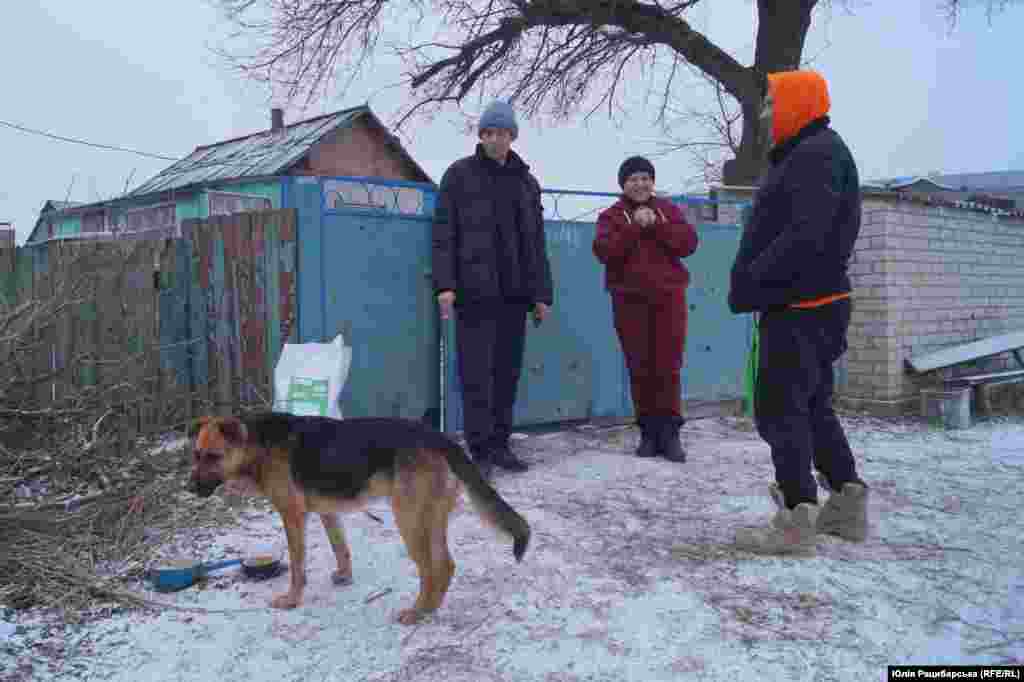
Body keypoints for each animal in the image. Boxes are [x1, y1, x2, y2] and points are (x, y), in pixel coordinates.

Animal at [187, 409, 532, 622]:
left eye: (213, 457)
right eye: (196, 455)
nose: (190, 488)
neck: (257, 444)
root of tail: (440, 438)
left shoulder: (293, 517)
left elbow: (297, 566)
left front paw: (292, 599)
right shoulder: (327, 513)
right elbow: (340, 547)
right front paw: (344, 576)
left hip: (409, 520)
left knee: (430, 570)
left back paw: (416, 612)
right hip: (430, 518)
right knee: (445, 566)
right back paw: (429, 610)